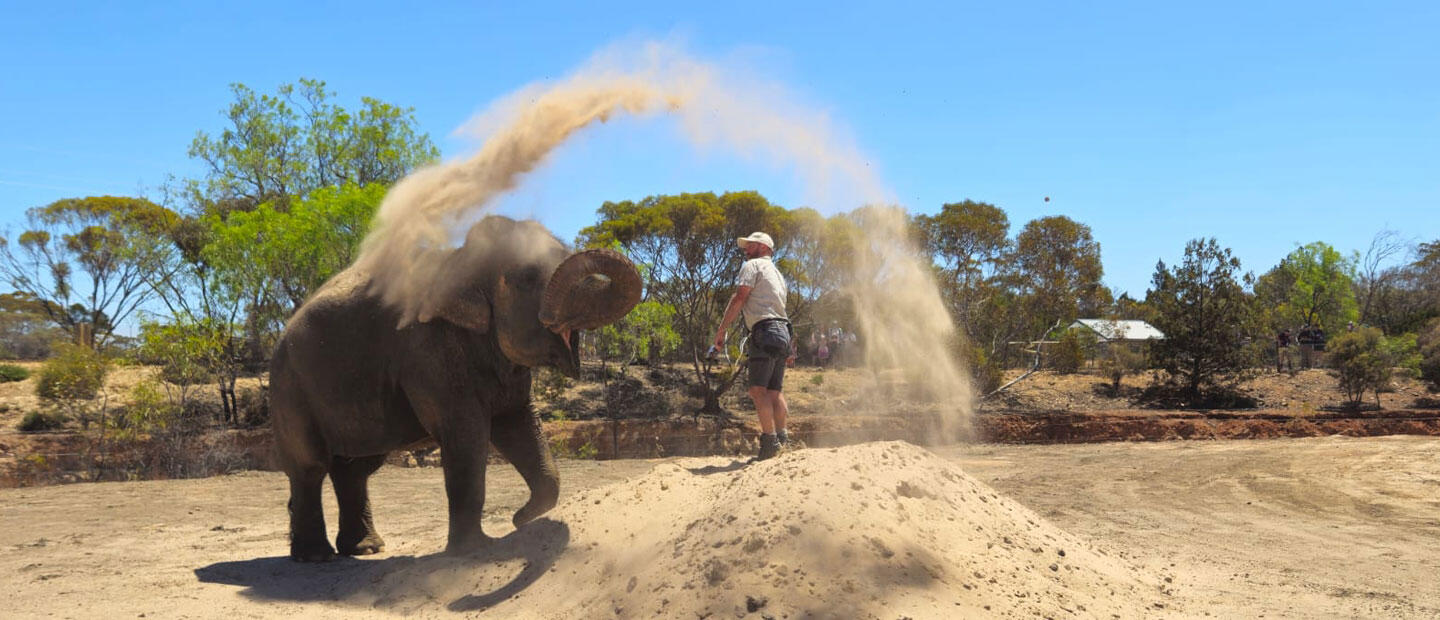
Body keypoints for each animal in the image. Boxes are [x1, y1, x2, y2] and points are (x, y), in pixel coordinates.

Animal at [269, 215, 641, 561]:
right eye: (526, 278)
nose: (514, 517)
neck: (460, 260)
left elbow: (519, 424)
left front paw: (522, 520)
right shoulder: (427, 353)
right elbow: (467, 434)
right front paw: (477, 548)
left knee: (356, 468)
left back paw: (365, 550)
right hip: (290, 388)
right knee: (310, 467)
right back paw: (316, 556)